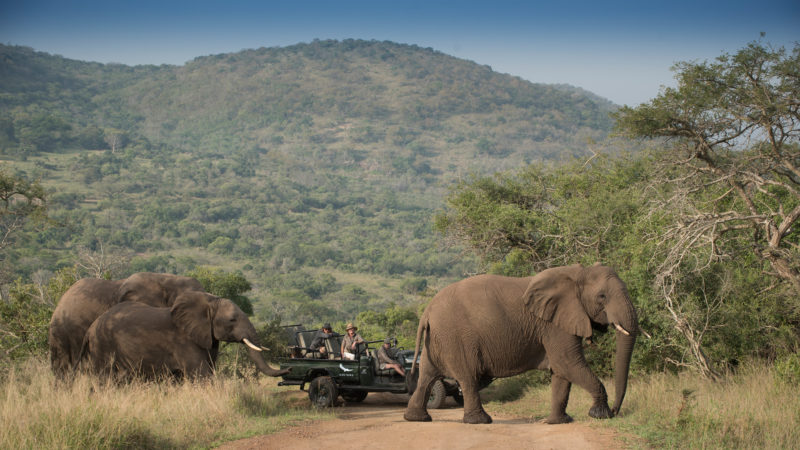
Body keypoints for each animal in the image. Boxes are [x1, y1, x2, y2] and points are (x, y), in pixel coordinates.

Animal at [406, 262, 636, 424]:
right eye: (602, 296)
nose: (616, 411)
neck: (577, 274)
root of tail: (427, 311)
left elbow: (561, 371)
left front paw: (557, 422)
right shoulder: (553, 325)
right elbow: (567, 363)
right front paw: (600, 414)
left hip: (436, 339)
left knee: (426, 375)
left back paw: (416, 418)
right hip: (456, 338)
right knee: (468, 377)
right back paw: (480, 421)